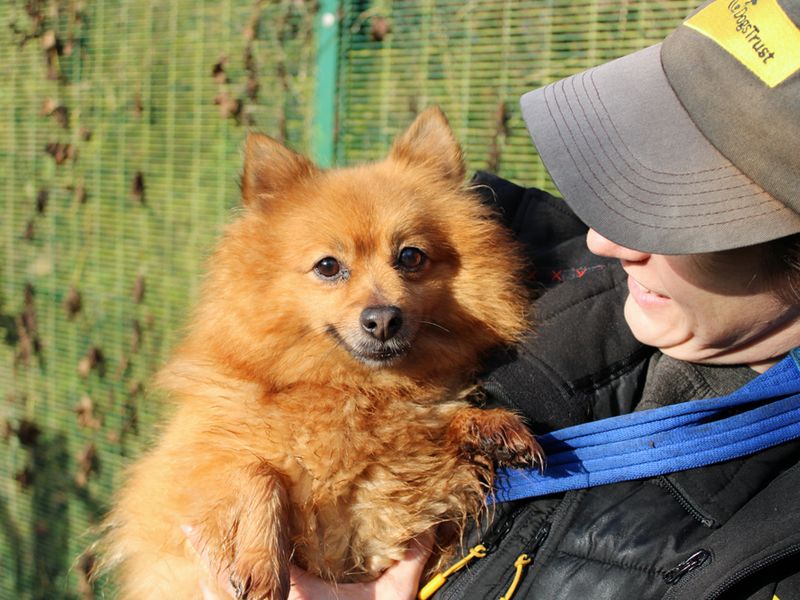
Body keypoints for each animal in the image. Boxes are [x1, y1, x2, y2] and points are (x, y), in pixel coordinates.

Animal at [101, 108, 536, 600]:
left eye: (410, 257)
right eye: (328, 266)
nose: (383, 319)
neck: (354, 391)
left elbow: (439, 421)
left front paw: (487, 424)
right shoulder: (183, 474)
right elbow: (255, 471)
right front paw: (261, 564)